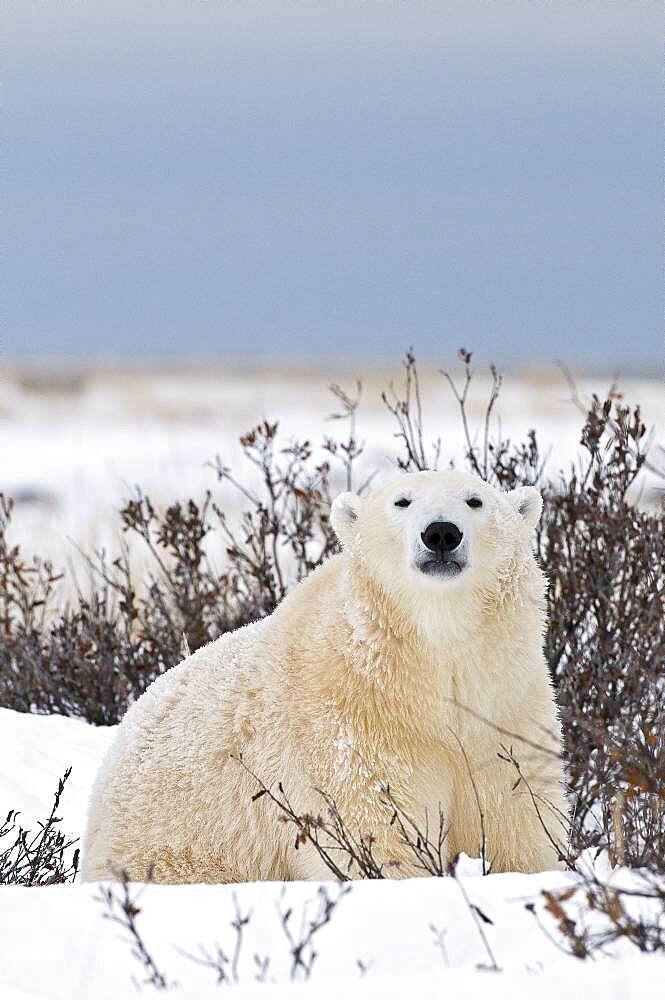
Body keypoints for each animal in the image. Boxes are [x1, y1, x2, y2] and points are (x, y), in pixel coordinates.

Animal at [80, 470, 568, 884]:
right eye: (402, 501)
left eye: (475, 500)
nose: (441, 533)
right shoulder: (350, 726)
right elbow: (377, 835)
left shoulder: (503, 709)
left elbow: (517, 822)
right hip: (176, 849)